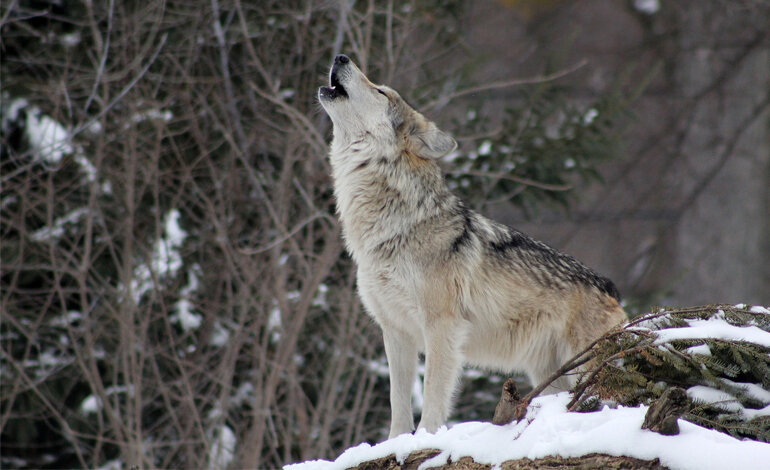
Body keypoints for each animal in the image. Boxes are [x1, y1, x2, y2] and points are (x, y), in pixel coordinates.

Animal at [318, 54, 627, 438]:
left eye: (381, 91)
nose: (340, 57)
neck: (394, 227)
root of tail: (611, 288)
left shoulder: (442, 327)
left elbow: (433, 395)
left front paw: (425, 439)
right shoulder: (396, 331)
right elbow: (398, 403)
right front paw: (396, 443)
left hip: (585, 367)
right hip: (550, 376)